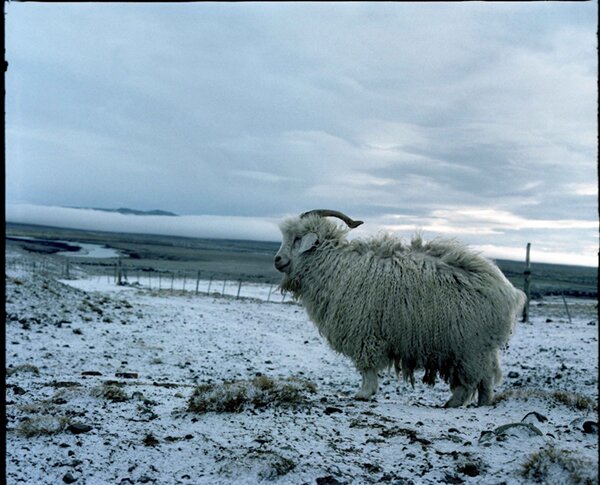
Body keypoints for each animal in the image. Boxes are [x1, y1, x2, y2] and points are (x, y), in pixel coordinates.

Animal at [274, 208, 528, 404]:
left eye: (297, 238)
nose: (277, 260)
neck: (333, 265)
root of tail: (510, 292)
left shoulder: (364, 332)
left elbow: (366, 366)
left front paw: (364, 393)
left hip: (470, 347)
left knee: (472, 381)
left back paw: (452, 404)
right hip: (482, 348)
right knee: (486, 380)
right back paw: (481, 403)